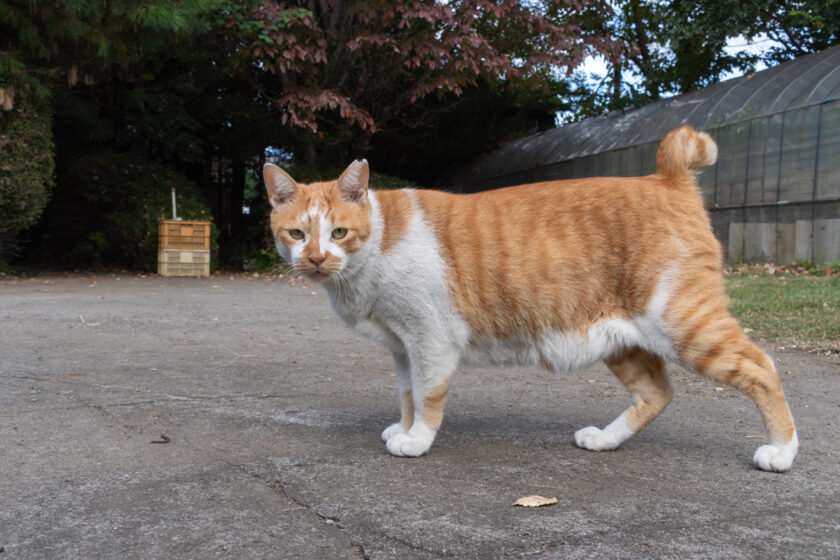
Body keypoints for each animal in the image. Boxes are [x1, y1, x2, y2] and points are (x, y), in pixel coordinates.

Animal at [266, 127, 796, 472]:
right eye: (297, 233)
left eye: (338, 232)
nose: (315, 258)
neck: (374, 249)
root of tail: (665, 177)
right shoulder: (402, 348)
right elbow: (406, 395)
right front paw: (404, 427)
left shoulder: (430, 341)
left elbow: (427, 396)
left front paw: (417, 441)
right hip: (622, 340)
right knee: (657, 393)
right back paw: (605, 439)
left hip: (682, 323)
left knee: (762, 368)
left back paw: (782, 451)